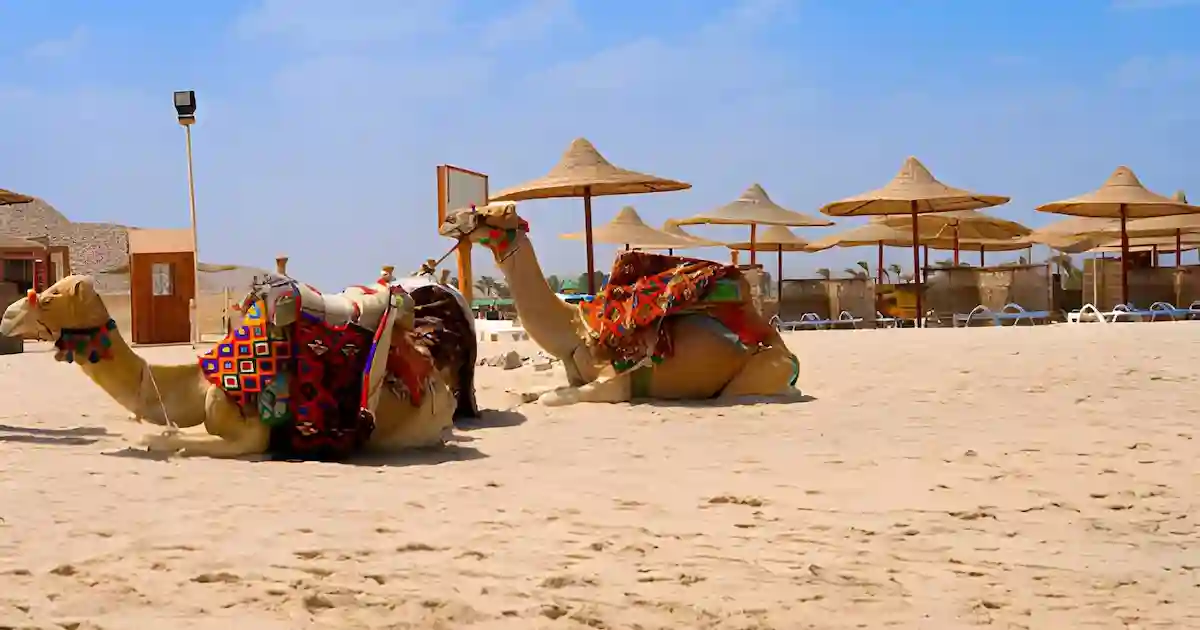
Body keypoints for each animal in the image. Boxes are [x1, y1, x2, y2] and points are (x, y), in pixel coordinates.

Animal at [0, 272, 478, 460]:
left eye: (48, 298)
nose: (6, 315)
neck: (198, 382)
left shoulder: (251, 432)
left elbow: (171, 440)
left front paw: (156, 441)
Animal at [438, 202, 799, 406]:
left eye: (486, 213)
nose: (448, 219)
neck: (574, 330)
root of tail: (785, 351)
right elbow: (536, 392)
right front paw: (520, 396)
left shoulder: (614, 383)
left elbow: (551, 400)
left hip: (759, 373)